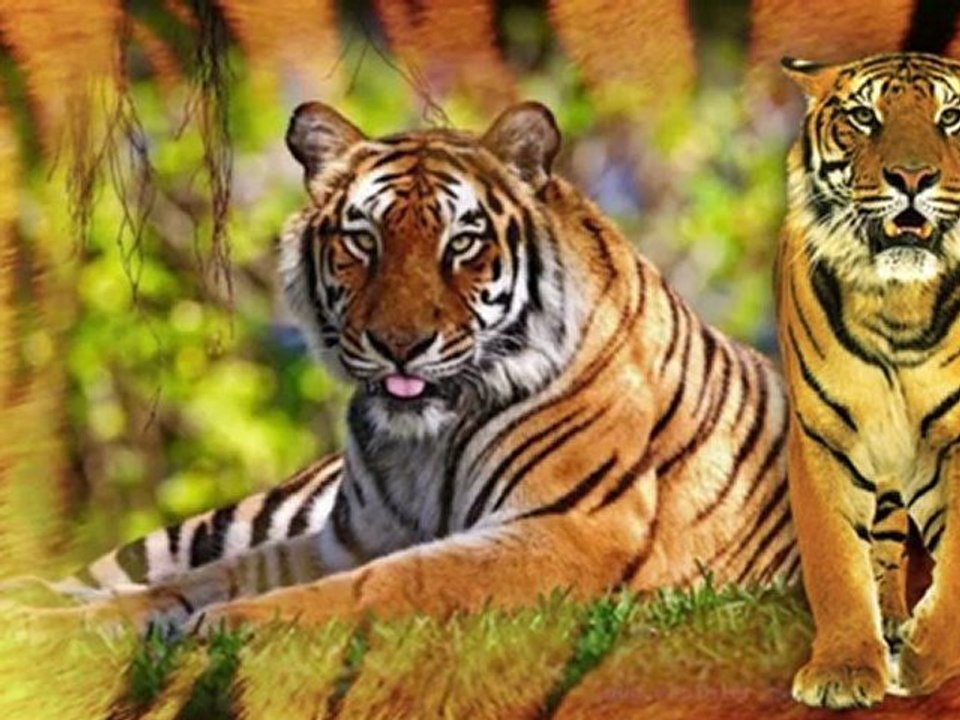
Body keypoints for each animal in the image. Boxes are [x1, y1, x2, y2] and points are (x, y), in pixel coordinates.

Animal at [30, 100, 796, 634]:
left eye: (462, 243)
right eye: (363, 241)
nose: (400, 343)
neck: (423, 443)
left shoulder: (569, 530)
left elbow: (390, 583)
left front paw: (228, 626)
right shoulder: (346, 538)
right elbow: (196, 581)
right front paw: (73, 629)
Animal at [778, 52, 960, 709]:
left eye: (952, 116)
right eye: (863, 117)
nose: (912, 178)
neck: (898, 306)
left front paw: (927, 661)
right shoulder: (824, 439)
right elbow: (836, 562)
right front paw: (844, 670)